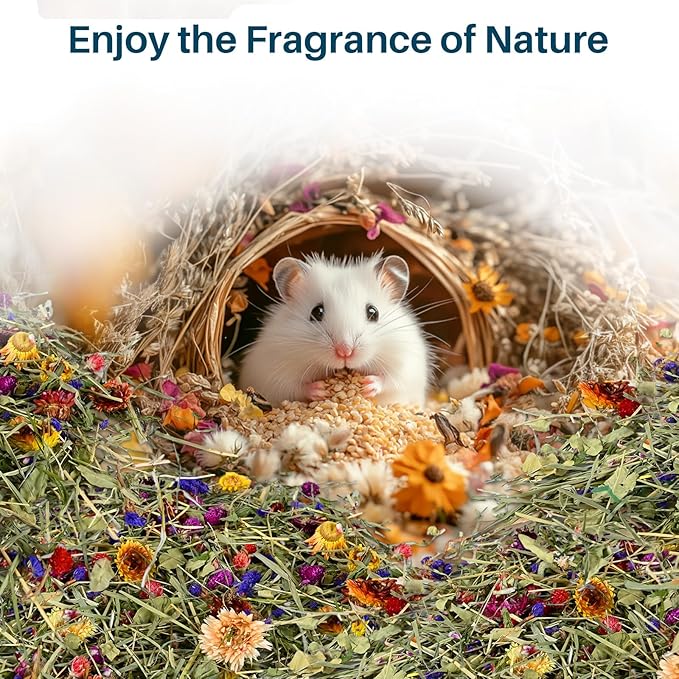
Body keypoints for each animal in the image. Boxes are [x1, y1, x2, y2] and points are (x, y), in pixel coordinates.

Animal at [238, 253, 431, 407]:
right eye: (316, 312)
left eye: (373, 312)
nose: (345, 351)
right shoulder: (275, 369)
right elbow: (293, 386)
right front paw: (320, 389)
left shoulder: (407, 362)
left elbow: (392, 379)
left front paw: (368, 385)